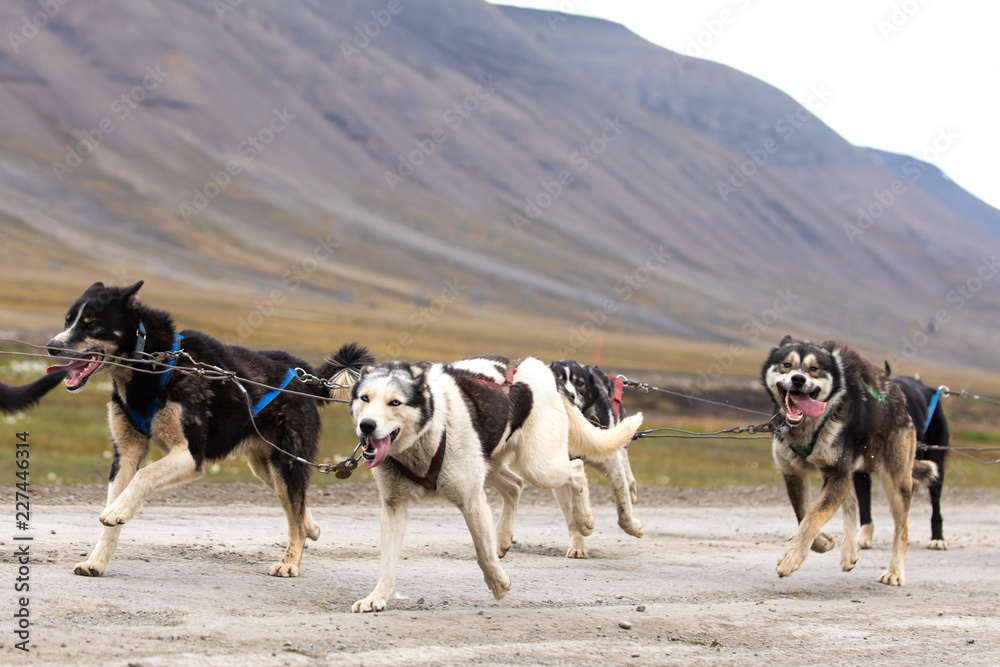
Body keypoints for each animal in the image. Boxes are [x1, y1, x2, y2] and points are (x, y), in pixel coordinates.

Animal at [45, 282, 370, 580]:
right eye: (68, 321)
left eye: (93, 323)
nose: (51, 346)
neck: (155, 366)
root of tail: (300, 372)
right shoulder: (126, 452)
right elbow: (117, 502)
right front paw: (96, 561)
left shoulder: (191, 455)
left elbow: (144, 476)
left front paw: (117, 512)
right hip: (266, 467)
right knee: (298, 511)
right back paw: (311, 527)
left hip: (287, 462)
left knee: (295, 516)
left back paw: (289, 563)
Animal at [548, 360, 640, 560]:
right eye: (557, 379)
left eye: (580, 383)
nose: (570, 395)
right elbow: (571, 515)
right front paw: (578, 544)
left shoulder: (612, 467)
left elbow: (623, 513)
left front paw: (635, 528)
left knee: (624, 456)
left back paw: (631, 486)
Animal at [764, 336, 936, 588]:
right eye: (787, 365)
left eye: (814, 369)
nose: (798, 378)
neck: (808, 428)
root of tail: (896, 391)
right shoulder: (794, 473)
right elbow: (804, 514)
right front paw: (821, 542)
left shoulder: (838, 473)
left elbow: (813, 516)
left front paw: (791, 557)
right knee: (852, 501)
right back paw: (849, 552)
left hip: (895, 480)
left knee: (902, 528)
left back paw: (895, 571)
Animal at [852, 374, 952, 552]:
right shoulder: (859, 471)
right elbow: (864, 504)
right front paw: (865, 536)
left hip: (936, 464)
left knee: (936, 506)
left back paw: (938, 538)